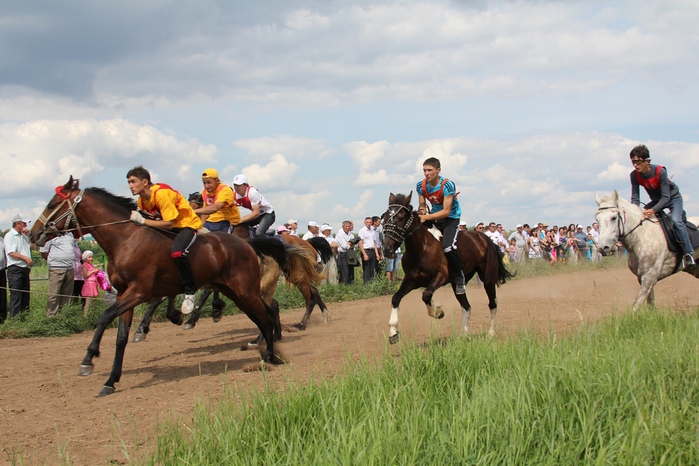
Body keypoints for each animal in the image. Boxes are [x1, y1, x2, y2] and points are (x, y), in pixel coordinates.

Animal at [28, 177, 288, 396]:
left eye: (52, 204)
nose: (33, 233)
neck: (126, 239)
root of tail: (249, 244)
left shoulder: (139, 291)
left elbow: (104, 317)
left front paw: (88, 359)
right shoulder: (125, 293)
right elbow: (121, 337)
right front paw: (111, 380)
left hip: (245, 291)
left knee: (265, 316)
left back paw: (269, 354)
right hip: (235, 292)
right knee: (263, 315)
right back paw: (267, 350)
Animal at [380, 191, 516, 344]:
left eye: (401, 218)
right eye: (384, 218)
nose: (387, 249)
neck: (422, 248)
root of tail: (487, 239)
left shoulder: (441, 276)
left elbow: (426, 294)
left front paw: (438, 312)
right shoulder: (411, 280)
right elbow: (396, 298)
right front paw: (393, 332)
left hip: (488, 280)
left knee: (492, 304)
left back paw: (491, 333)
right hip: (458, 284)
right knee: (466, 307)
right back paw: (463, 335)